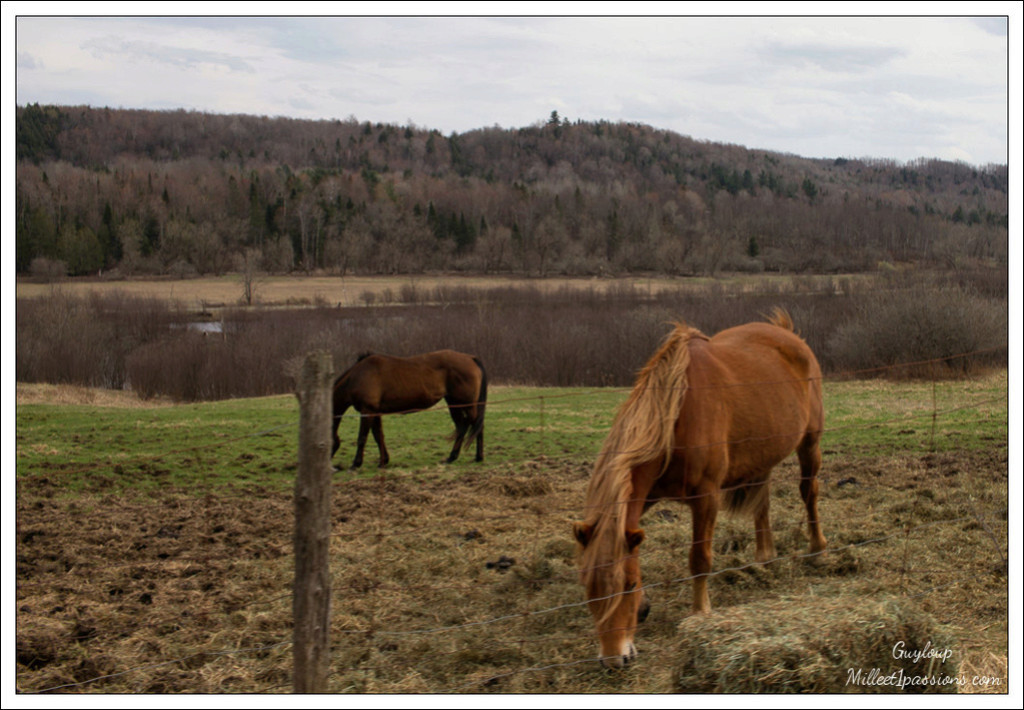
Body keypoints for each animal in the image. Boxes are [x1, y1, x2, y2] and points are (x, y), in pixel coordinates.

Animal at [329, 350, 485, 471]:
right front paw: (383, 461)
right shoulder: (375, 412)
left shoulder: (367, 411)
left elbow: (362, 438)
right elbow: (378, 436)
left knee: (473, 425)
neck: (358, 376)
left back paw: (468, 457)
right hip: (454, 404)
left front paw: (355, 464)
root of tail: (470, 357)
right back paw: (462, 457)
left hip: (466, 404)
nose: (332, 467)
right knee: (466, 426)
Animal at [573, 309, 827, 663]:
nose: (614, 660)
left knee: (809, 493)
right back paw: (764, 558)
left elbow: (699, 559)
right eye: (588, 586)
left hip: (809, 443)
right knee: (762, 503)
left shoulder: (706, 499)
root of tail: (787, 333)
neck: (675, 419)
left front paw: (699, 614)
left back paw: (817, 549)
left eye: (629, 584)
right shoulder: (647, 496)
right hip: (763, 454)